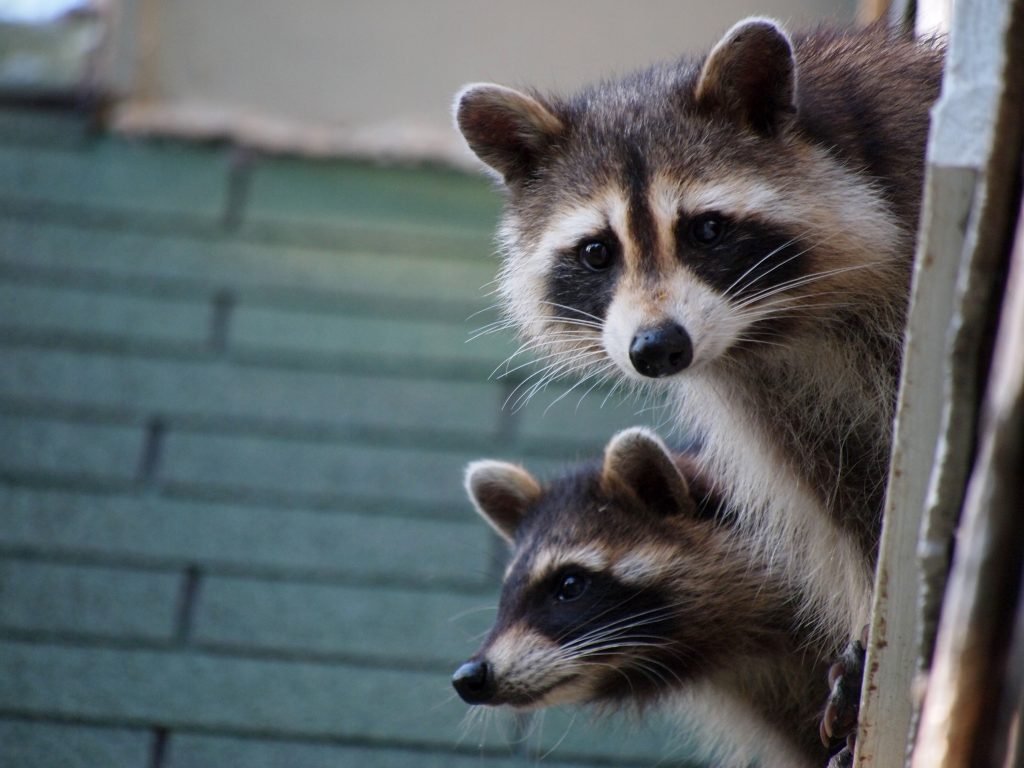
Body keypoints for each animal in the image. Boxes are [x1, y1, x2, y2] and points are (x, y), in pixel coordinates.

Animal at [454, 19, 944, 643]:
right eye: (596, 252)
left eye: (707, 230)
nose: (658, 347)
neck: (777, 326)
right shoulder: (778, 405)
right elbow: (843, 494)